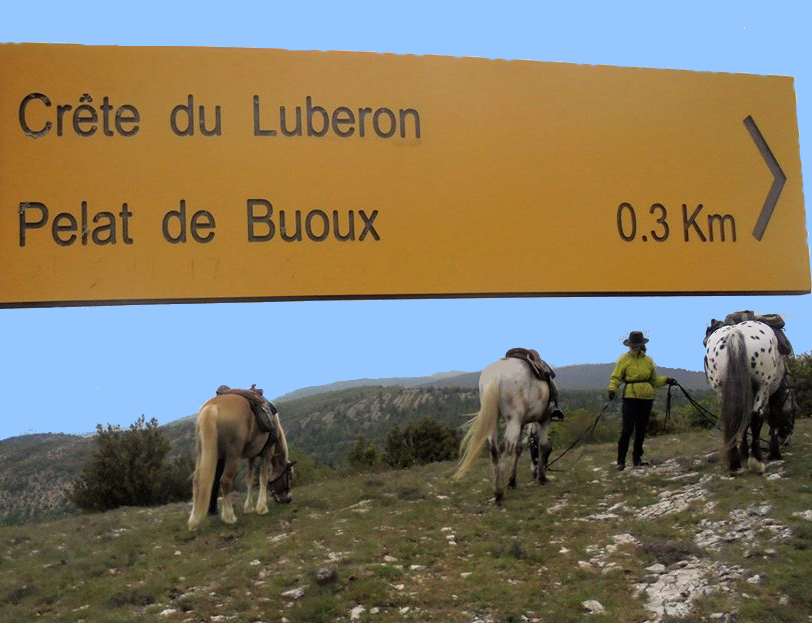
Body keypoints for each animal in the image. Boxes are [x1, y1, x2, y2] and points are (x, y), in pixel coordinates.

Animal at [189, 394, 294, 532]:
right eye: (289, 477)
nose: (288, 499)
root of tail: (212, 406)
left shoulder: (251, 456)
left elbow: (249, 479)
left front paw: (249, 507)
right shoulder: (267, 452)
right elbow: (263, 478)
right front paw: (262, 508)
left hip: (202, 453)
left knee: (197, 481)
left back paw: (193, 521)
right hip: (233, 456)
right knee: (225, 481)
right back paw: (229, 517)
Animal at [454, 356, 556, 508]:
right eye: (550, 452)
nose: (534, 473)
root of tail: (497, 374)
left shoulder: (522, 423)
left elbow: (518, 449)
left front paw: (512, 481)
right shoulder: (545, 419)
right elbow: (543, 445)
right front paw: (542, 478)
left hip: (494, 421)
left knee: (494, 451)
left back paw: (497, 488)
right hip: (513, 421)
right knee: (502, 450)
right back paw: (498, 494)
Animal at [704, 322, 792, 472]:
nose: (786, 440)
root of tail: (735, 333)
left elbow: (744, 423)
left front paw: (744, 452)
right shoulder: (774, 396)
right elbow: (772, 419)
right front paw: (774, 453)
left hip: (721, 390)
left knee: (733, 416)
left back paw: (734, 463)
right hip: (763, 386)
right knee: (756, 416)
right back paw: (756, 461)